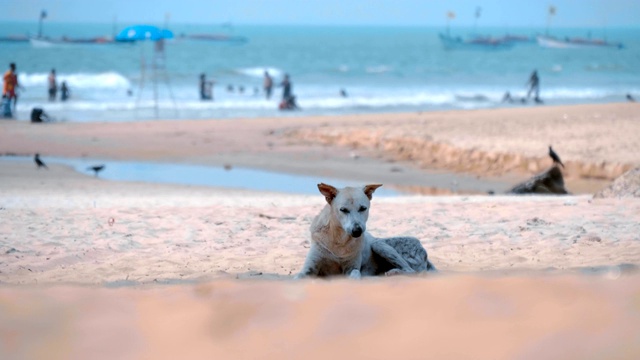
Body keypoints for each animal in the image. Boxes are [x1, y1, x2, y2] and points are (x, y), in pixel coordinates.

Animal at [296, 183, 436, 278]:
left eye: (363, 208)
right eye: (343, 210)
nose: (357, 231)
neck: (339, 241)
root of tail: (423, 250)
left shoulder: (351, 268)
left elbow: (355, 275)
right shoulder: (309, 268)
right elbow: (299, 276)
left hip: (379, 245)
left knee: (412, 271)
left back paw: (394, 272)